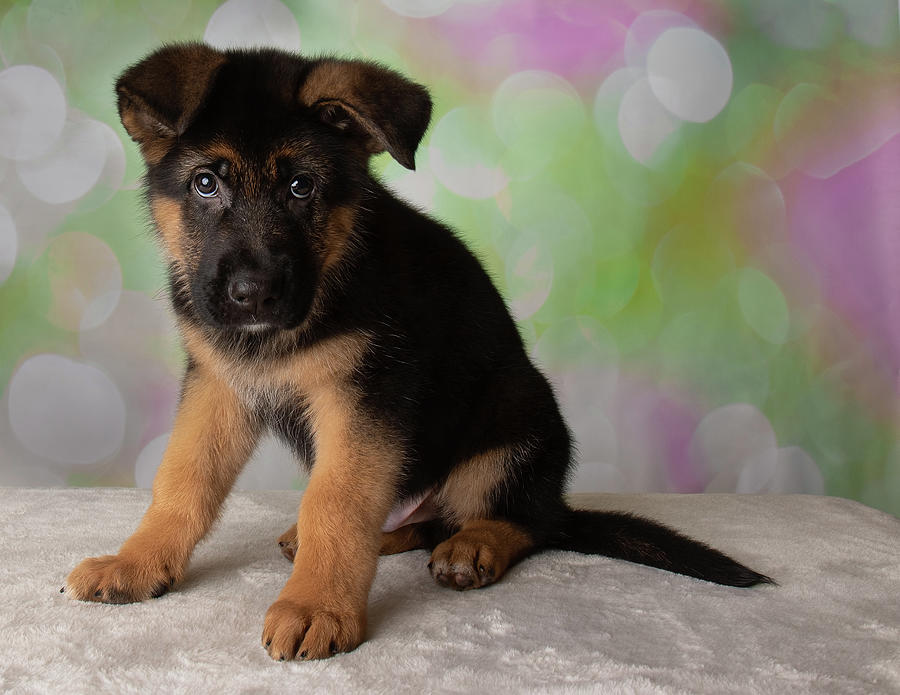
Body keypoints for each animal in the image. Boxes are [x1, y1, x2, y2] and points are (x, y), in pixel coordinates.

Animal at [63, 43, 768, 664]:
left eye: (301, 187)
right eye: (206, 184)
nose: (252, 295)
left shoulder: (368, 394)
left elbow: (336, 502)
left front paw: (317, 606)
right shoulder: (219, 381)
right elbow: (184, 477)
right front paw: (137, 563)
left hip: (521, 418)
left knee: (526, 520)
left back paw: (475, 545)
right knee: (425, 517)